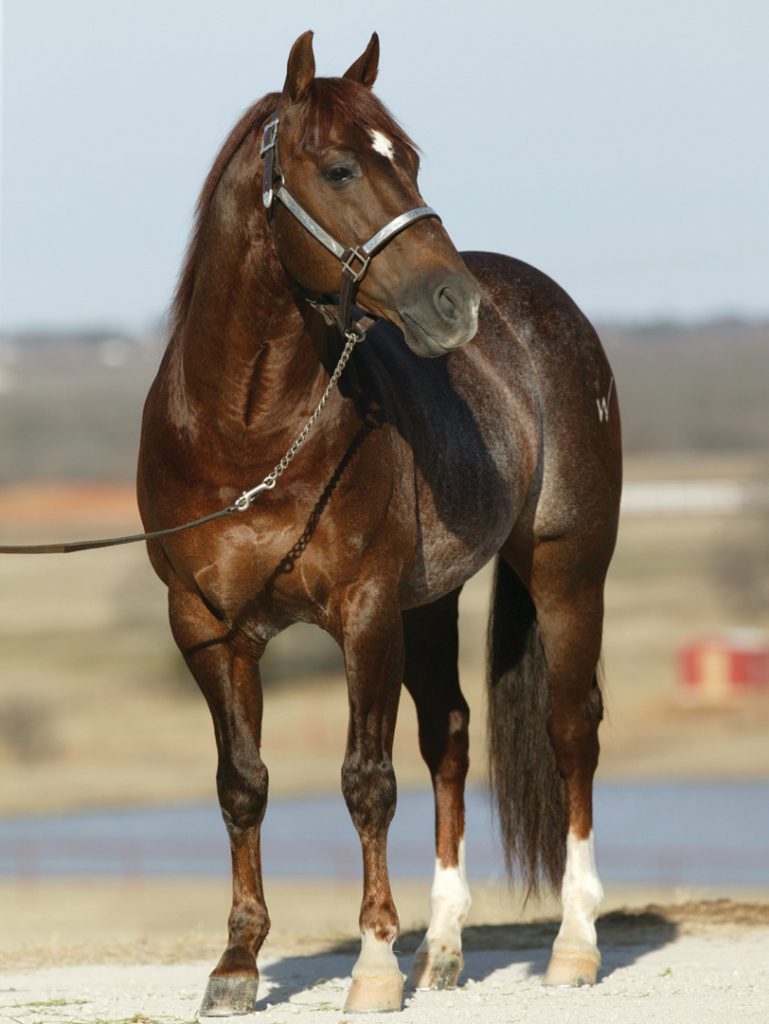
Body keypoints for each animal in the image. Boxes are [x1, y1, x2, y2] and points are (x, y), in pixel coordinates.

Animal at [137, 30, 622, 1016]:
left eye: (412, 159)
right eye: (339, 168)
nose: (453, 305)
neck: (245, 434)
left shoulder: (361, 615)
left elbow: (366, 782)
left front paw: (370, 965)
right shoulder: (207, 628)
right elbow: (241, 784)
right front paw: (235, 967)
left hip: (566, 570)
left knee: (569, 731)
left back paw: (574, 944)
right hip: (428, 603)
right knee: (452, 737)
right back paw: (441, 951)